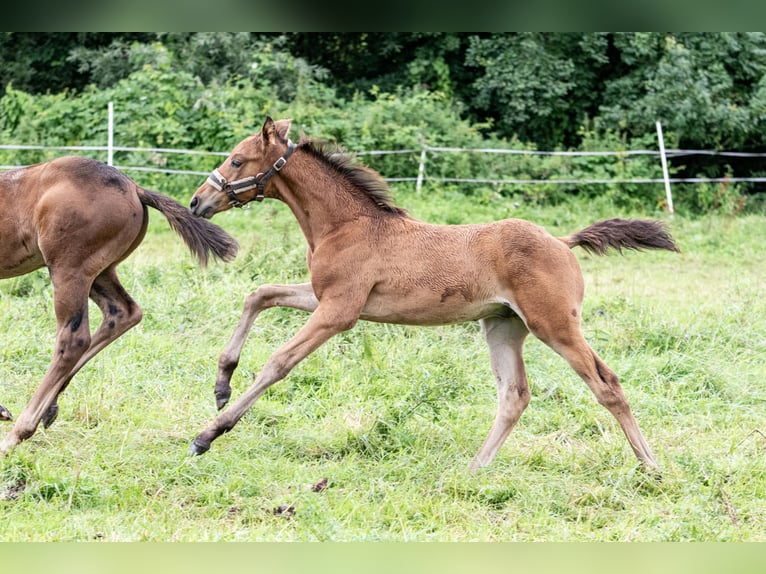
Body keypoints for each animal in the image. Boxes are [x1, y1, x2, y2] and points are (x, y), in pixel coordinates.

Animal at [0, 159, 238, 460]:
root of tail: (133, 187)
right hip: (100, 272)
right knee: (124, 312)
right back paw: (47, 409)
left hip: (69, 269)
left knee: (73, 340)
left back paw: (16, 434)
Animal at [189, 118, 680, 472]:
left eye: (237, 161)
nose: (197, 202)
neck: (347, 225)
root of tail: (562, 241)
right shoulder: (325, 296)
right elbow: (260, 294)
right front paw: (221, 384)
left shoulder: (339, 311)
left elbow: (277, 363)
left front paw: (208, 434)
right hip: (503, 326)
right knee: (515, 395)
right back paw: (474, 470)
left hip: (555, 325)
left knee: (607, 384)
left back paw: (652, 466)